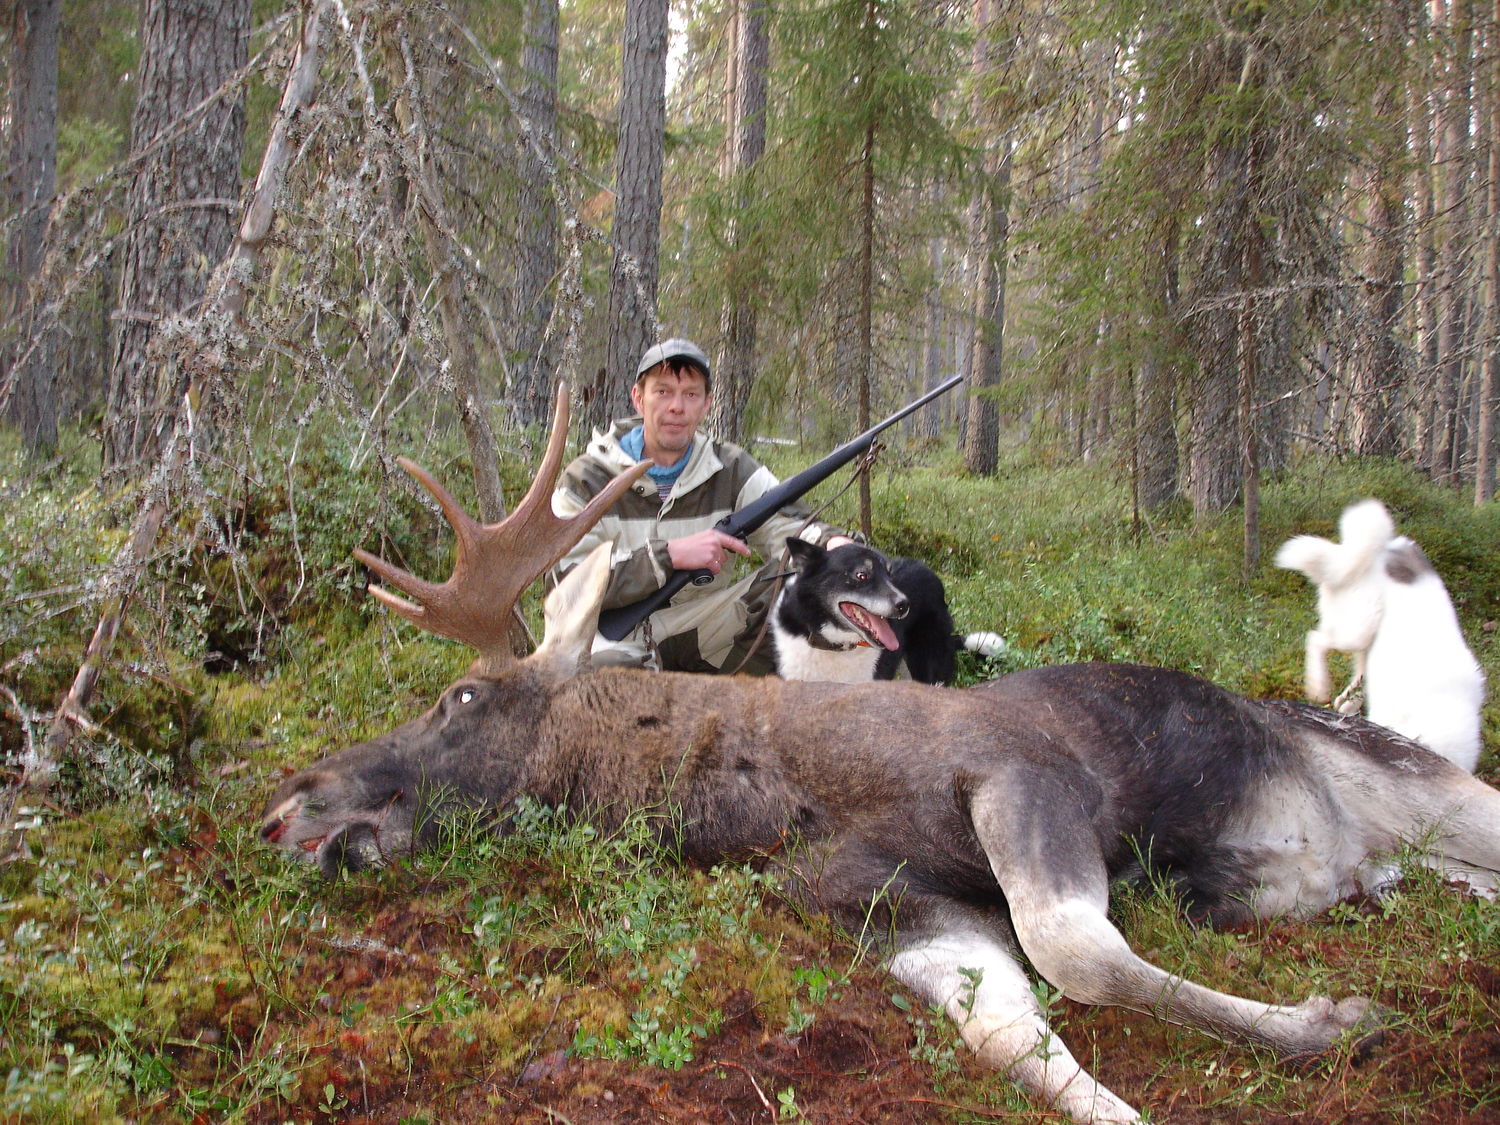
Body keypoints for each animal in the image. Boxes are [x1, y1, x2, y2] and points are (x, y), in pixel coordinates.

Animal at [1276, 499, 1485, 772]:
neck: (1442, 705)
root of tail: (1381, 549)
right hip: (1357, 628)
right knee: (1316, 639)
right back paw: (1319, 686)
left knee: (1357, 672)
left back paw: (1346, 703)